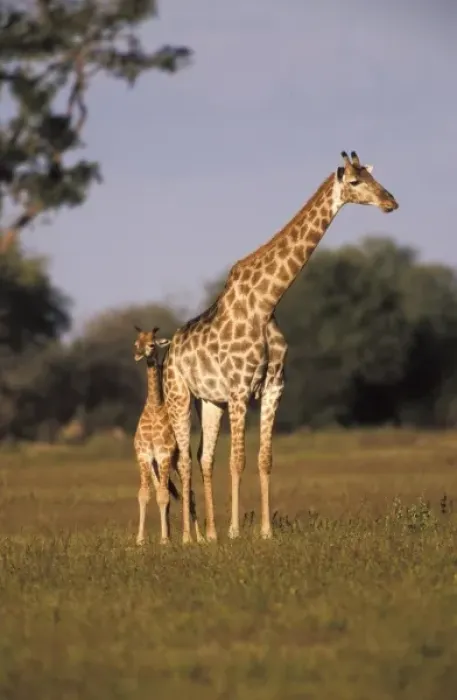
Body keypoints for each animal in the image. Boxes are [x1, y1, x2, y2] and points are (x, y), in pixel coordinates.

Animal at [133, 325, 203, 545]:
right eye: (136, 342)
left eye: (151, 344)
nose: (138, 353)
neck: (155, 407)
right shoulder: (145, 456)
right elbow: (145, 494)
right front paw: (140, 540)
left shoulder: (163, 455)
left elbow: (164, 496)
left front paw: (164, 540)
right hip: (156, 466)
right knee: (167, 494)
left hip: (177, 462)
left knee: (189, 494)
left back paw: (200, 538)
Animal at [163, 150, 399, 542]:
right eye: (354, 181)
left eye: (373, 177)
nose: (390, 202)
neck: (266, 303)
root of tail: (168, 350)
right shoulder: (240, 390)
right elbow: (239, 459)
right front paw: (235, 532)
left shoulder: (273, 386)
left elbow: (264, 458)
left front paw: (265, 532)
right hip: (179, 395)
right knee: (182, 459)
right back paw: (186, 538)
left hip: (209, 401)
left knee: (203, 457)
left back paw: (208, 535)